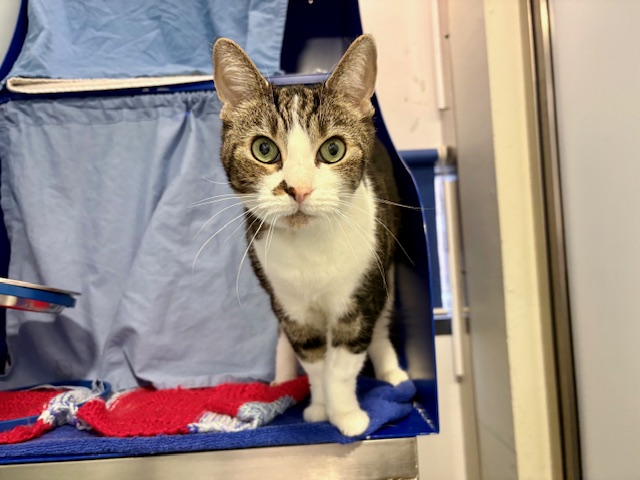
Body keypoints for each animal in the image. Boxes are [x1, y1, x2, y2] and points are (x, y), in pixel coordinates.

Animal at [212, 34, 409, 437]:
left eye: (333, 149)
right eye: (264, 148)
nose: (298, 189)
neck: (310, 248)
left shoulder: (358, 297)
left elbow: (342, 364)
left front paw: (346, 415)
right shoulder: (292, 306)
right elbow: (314, 361)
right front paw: (319, 407)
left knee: (382, 322)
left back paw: (392, 372)